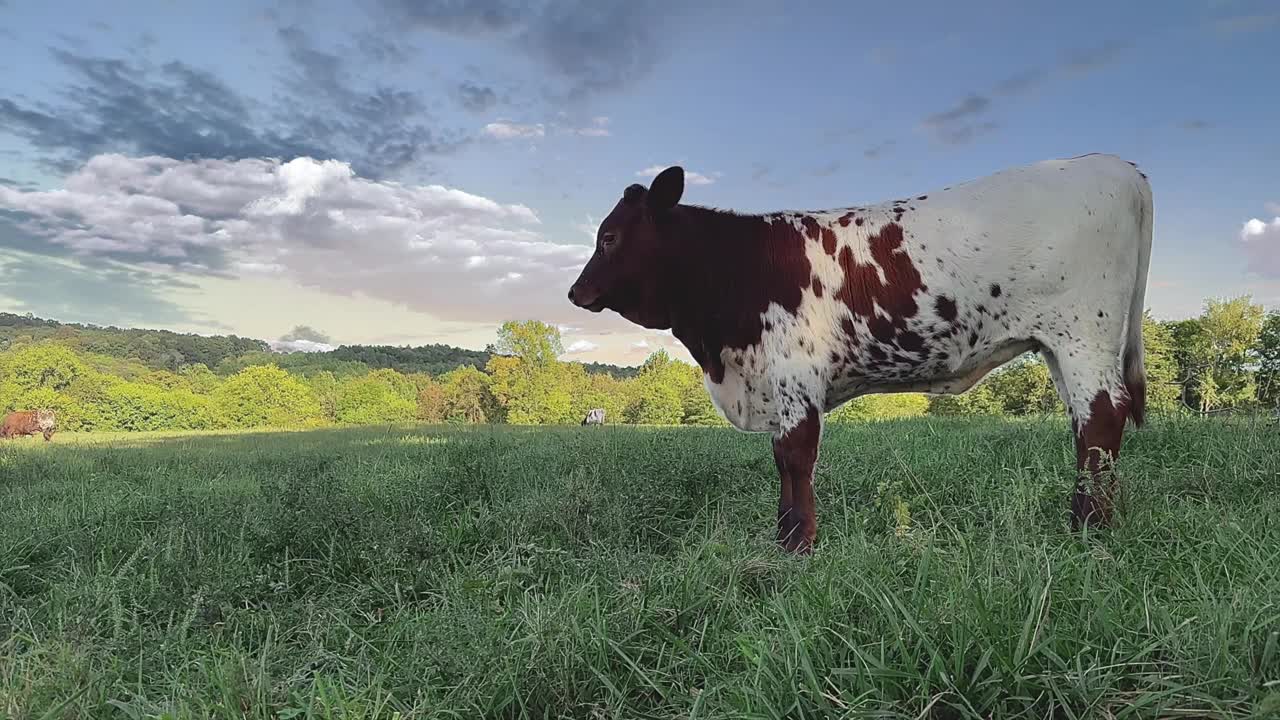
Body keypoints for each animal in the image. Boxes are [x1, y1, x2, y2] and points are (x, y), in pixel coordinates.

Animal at [568, 154, 1152, 550]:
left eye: (610, 237)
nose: (575, 292)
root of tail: (1117, 166)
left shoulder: (796, 375)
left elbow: (794, 457)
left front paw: (797, 545)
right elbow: (783, 461)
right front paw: (784, 538)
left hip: (1084, 334)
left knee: (1102, 418)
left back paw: (1089, 527)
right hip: (1058, 345)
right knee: (1085, 427)